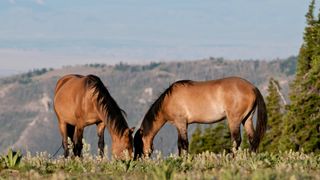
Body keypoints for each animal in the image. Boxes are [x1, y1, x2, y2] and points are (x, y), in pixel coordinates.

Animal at [134, 76, 268, 158]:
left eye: (138, 144)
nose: (138, 160)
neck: (169, 99)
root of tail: (252, 87)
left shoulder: (181, 122)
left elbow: (184, 143)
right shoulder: (181, 125)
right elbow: (180, 144)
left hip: (234, 120)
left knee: (237, 140)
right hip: (247, 119)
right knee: (253, 138)